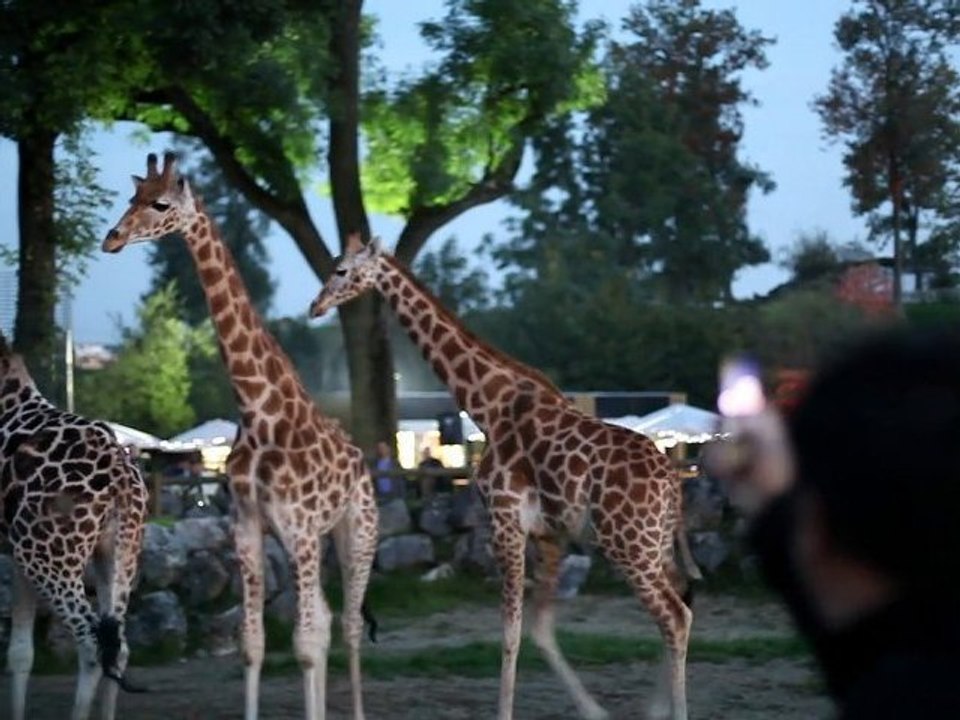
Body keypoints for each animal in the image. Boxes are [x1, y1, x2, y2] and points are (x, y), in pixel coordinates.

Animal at [0, 331, 148, 720]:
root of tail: (121, 476)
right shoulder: (15, 554)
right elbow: (20, 653)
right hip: (116, 552)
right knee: (118, 646)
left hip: (49, 556)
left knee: (92, 645)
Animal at [101, 153, 379, 720]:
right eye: (131, 198)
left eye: (161, 204)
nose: (111, 238)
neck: (257, 410)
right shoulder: (249, 529)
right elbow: (255, 643)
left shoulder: (300, 529)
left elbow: (305, 642)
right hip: (311, 542)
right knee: (326, 621)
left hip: (356, 532)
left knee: (348, 624)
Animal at [310, 235, 702, 720]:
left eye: (341, 270)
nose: (315, 306)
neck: (489, 405)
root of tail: (672, 482)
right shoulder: (549, 533)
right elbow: (539, 627)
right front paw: (593, 710)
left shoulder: (505, 519)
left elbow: (511, 630)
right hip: (654, 543)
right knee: (682, 598)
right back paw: (655, 705)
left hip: (628, 544)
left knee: (675, 616)